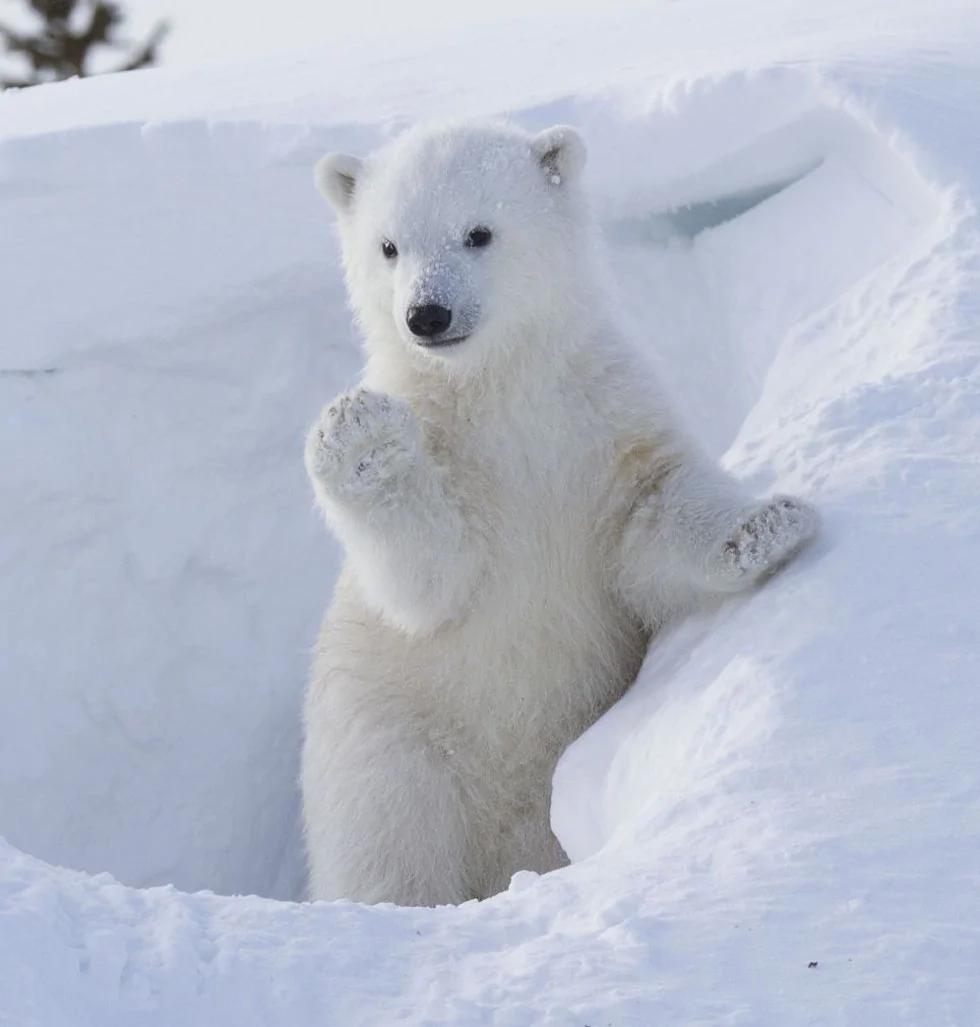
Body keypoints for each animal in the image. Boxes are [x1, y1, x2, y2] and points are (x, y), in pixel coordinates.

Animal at [301, 120, 817, 906]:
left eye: (479, 232)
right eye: (387, 246)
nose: (427, 315)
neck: (501, 390)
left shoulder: (601, 419)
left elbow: (651, 518)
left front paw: (767, 526)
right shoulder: (453, 458)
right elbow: (430, 580)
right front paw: (360, 436)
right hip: (392, 750)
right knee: (390, 852)